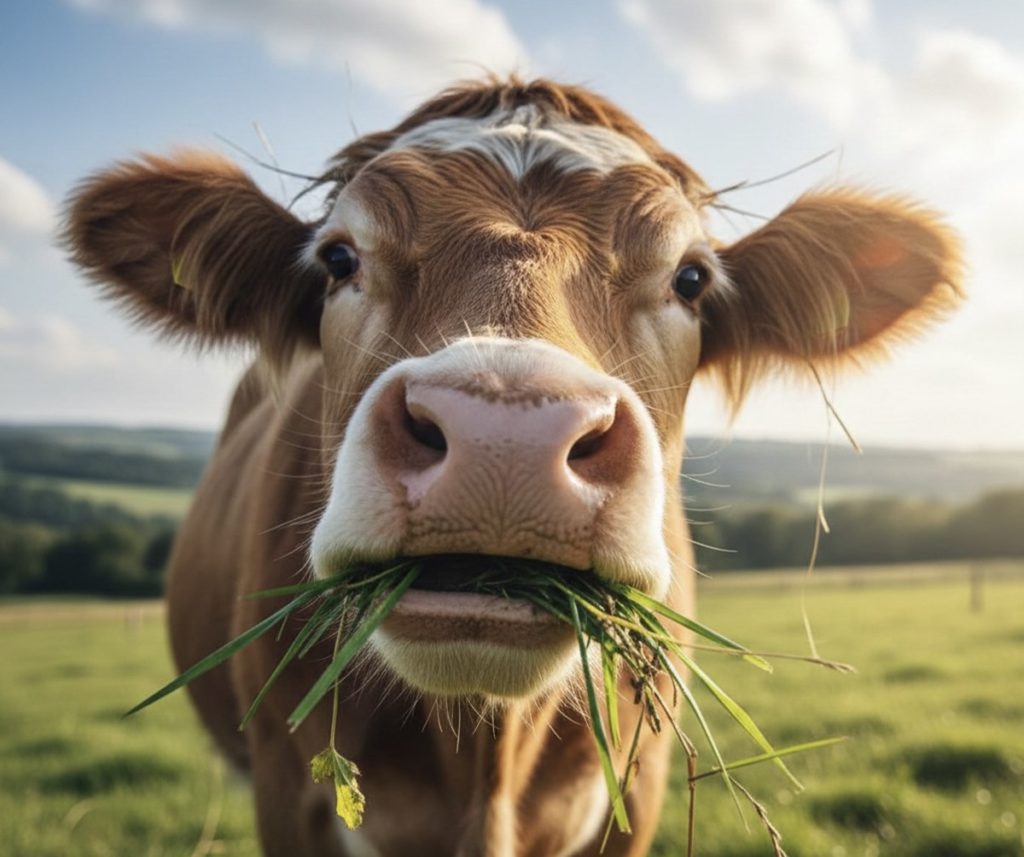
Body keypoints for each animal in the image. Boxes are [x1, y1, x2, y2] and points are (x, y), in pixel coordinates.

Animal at [65, 78, 961, 857]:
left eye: (691, 277)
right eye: (339, 259)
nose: (506, 435)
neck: (482, 759)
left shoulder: (634, 796)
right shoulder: (289, 794)